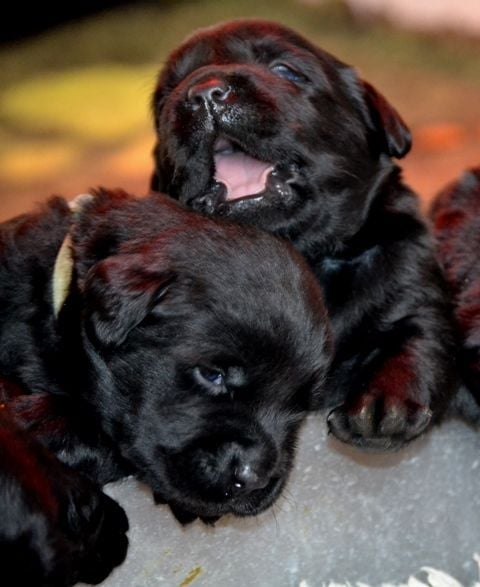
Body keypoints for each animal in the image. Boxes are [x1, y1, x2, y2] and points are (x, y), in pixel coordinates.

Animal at [151, 18, 458, 450]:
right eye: (165, 97)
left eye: (286, 71)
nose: (204, 91)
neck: (304, 254)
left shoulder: (413, 286)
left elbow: (417, 339)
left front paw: (384, 405)